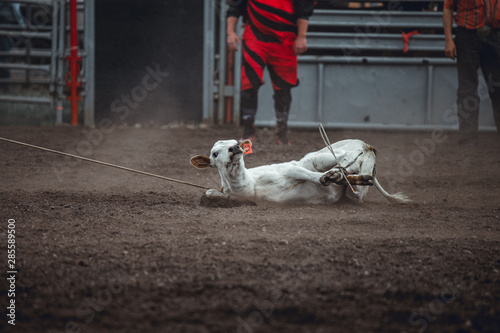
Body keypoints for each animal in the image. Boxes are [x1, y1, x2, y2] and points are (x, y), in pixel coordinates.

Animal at [189, 138, 408, 205]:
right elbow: (211, 192)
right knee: (354, 183)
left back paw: (341, 169)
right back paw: (349, 175)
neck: (249, 183)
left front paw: (330, 176)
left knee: (347, 155)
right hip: (355, 191)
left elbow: (313, 177)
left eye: (235, 141)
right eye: (215, 153)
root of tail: (365, 143)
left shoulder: (291, 168)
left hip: (318, 157)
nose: (235, 148)